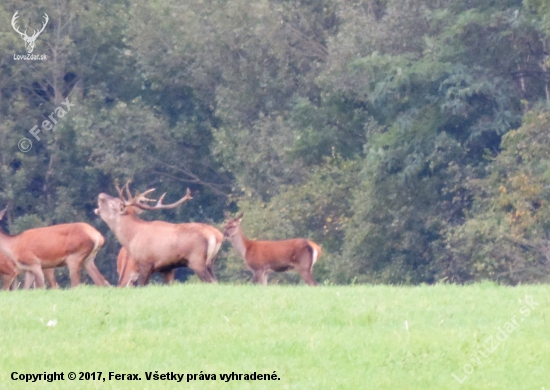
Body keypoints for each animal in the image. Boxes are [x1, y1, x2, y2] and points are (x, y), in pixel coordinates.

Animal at [94, 181, 222, 284]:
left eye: (113, 204)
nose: (101, 195)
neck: (131, 237)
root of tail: (216, 235)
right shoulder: (166, 268)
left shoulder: (145, 263)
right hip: (210, 262)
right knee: (216, 281)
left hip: (197, 260)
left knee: (211, 282)